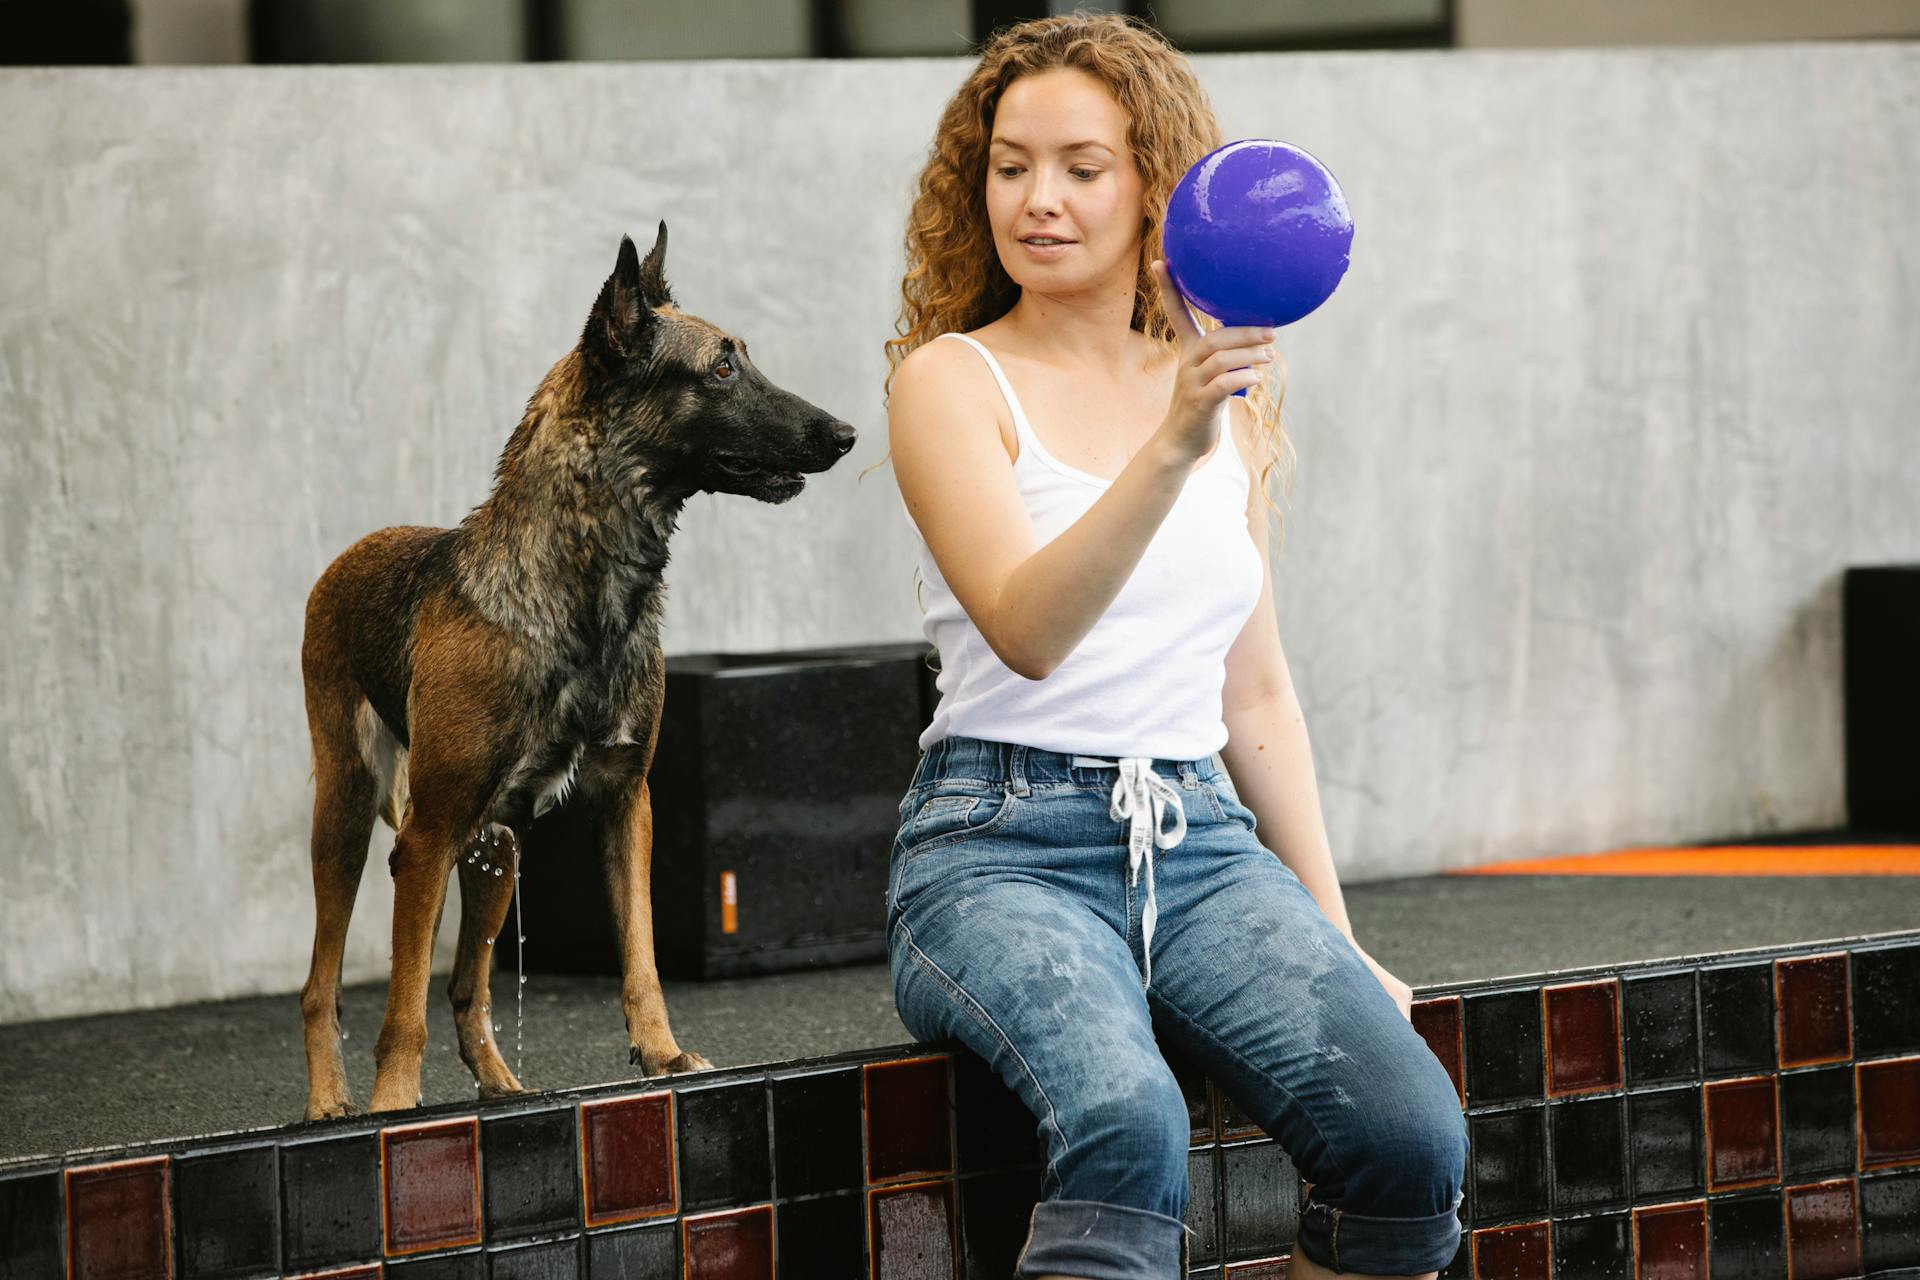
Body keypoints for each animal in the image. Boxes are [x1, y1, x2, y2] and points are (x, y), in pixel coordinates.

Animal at [299, 230, 856, 1120]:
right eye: (721, 368)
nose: (845, 433)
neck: (586, 586)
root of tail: (351, 554)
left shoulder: (627, 802)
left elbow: (641, 952)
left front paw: (662, 1054)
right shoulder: (424, 838)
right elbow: (401, 1005)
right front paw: (395, 1105)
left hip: (496, 851)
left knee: (470, 988)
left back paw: (501, 1085)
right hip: (350, 818)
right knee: (324, 986)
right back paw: (332, 1104)